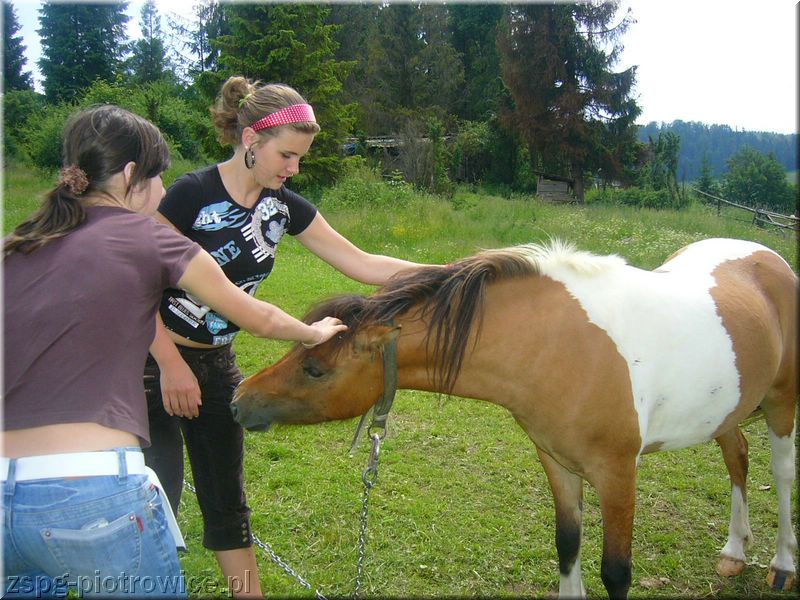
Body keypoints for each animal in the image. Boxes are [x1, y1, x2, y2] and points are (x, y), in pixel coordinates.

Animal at [230, 237, 792, 596]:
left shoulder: (618, 473)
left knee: (781, 473)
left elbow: (616, 571)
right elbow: (567, 545)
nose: (239, 400)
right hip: (727, 411)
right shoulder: (557, 462)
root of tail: (769, 258)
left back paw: (781, 565)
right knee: (738, 457)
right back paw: (734, 552)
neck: (562, 347)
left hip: (782, 403)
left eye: (315, 369)